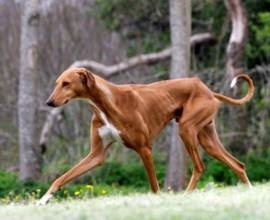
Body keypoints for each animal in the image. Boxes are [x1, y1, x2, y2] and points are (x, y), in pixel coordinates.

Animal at [37, 67, 253, 205]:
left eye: (66, 83)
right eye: (57, 83)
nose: (48, 102)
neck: (106, 103)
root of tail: (208, 90)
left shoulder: (144, 149)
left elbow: (154, 186)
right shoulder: (96, 155)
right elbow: (61, 178)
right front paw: (43, 200)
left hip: (186, 130)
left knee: (200, 167)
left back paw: (185, 197)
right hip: (207, 140)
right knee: (239, 165)